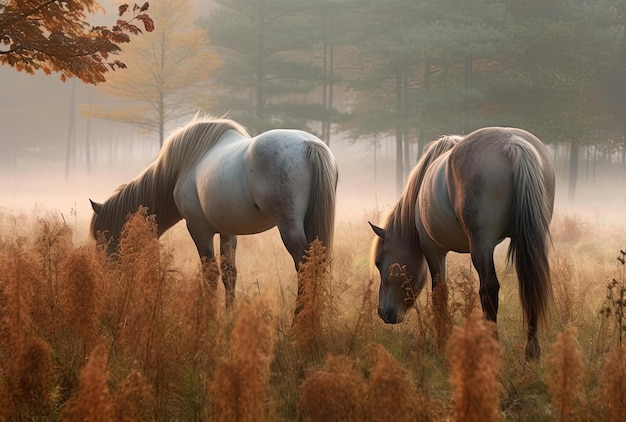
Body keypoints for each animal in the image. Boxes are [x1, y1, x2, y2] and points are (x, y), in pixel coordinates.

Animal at [89, 115, 336, 310]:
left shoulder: (198, 229)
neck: (181, 167)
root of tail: (309, 145)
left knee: (305, 268)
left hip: (289, 226)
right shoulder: (228, 231)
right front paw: (228, 315)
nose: (107, 279)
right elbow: (229, 273)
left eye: (106, 239)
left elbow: (210, 275)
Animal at [368, 126, 552, 360]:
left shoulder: (433, 249)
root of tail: (512, 143)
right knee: (531, 285)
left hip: (481, 245)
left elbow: (439, 294)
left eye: (379, 263)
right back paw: (532, 351)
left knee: (489, 289)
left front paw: (441, 344)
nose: (384, 313)